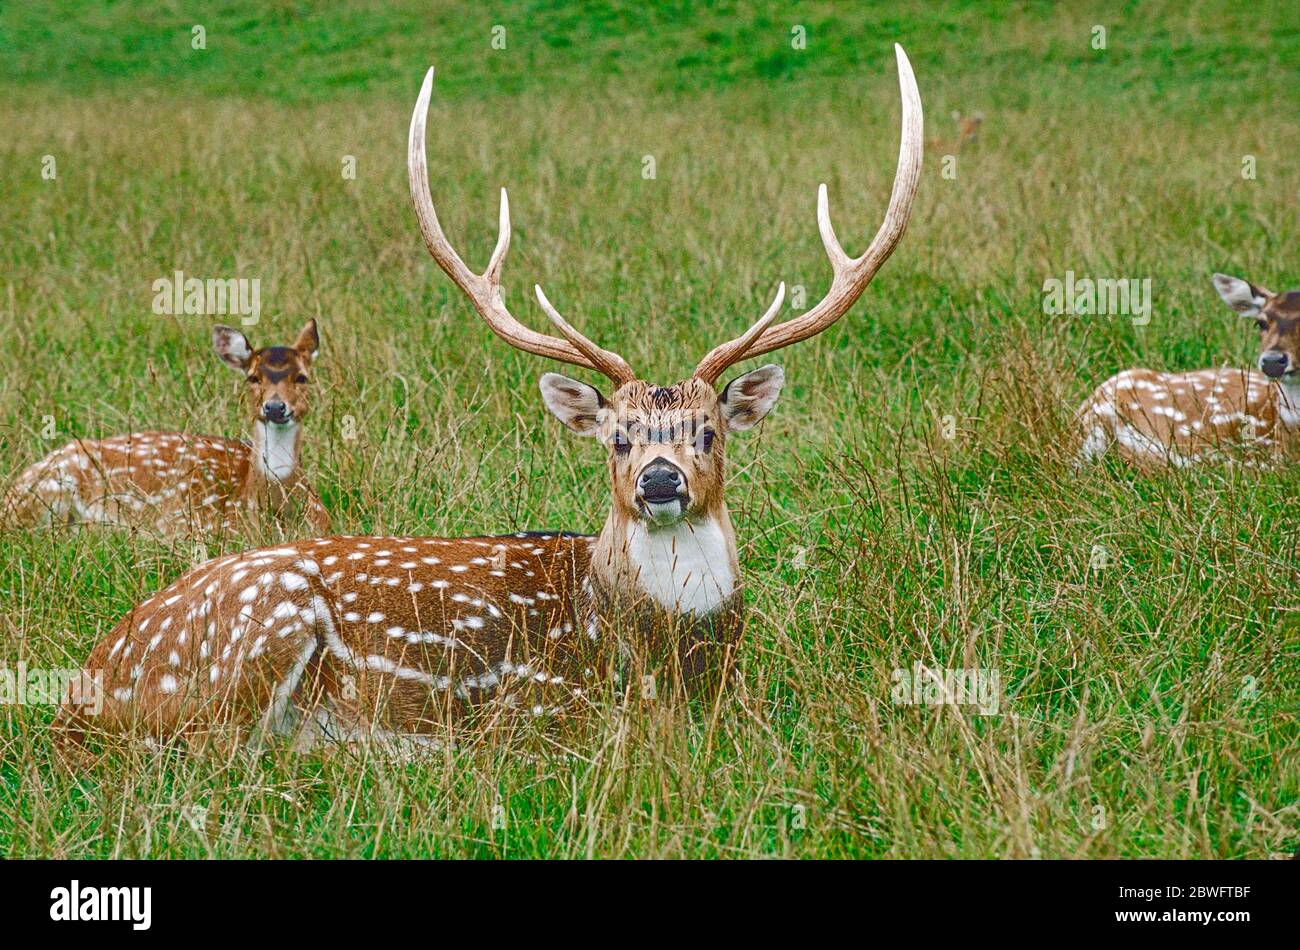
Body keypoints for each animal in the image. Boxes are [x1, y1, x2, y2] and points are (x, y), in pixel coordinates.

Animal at [53, 48, 925, 753]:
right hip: (255, 633)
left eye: (708, 432)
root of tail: (82, 692)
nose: (659, 480)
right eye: (616, 437)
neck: (672, 663)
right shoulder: (536, 710)